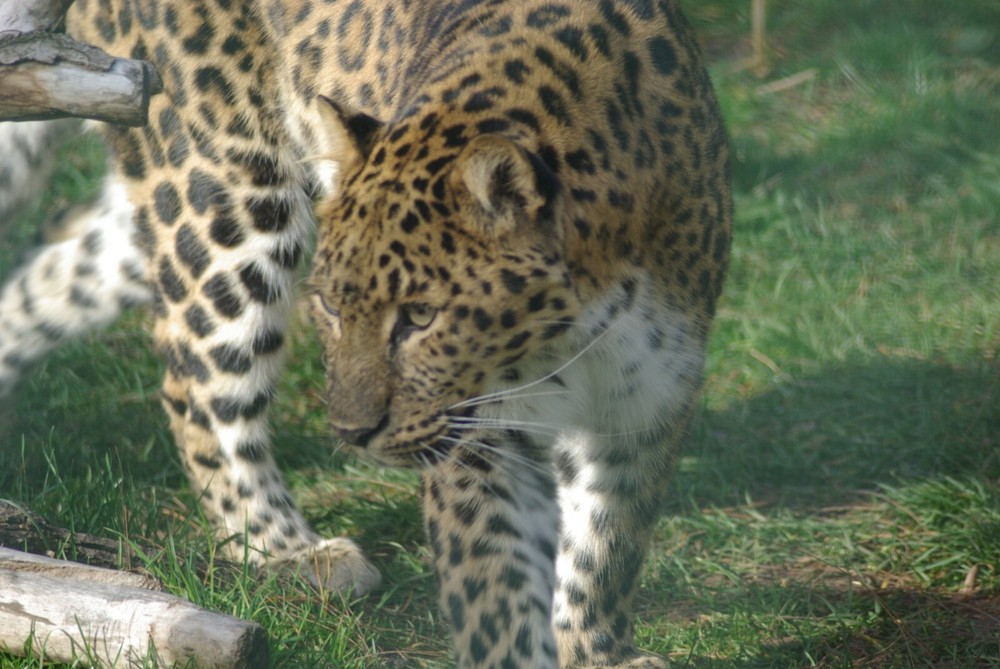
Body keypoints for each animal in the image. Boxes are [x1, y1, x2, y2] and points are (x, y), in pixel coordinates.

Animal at [0, 0, 731, 666]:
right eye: (330, 305)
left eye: (421, 316)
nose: (353, 434)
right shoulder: (477, 428)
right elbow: (496, 582)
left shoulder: (648, 397)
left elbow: (607, 544)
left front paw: (596, 649)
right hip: (229, 189)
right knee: (198, 384)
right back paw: (291, 550)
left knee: (56, 274)